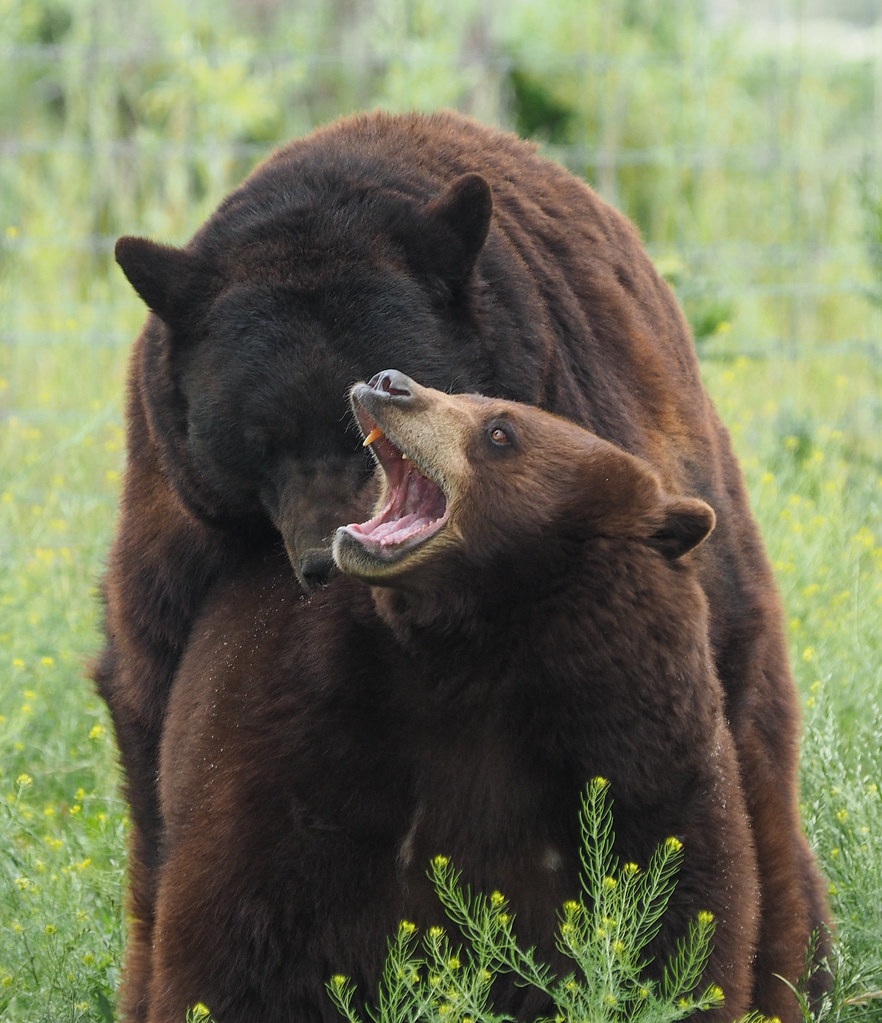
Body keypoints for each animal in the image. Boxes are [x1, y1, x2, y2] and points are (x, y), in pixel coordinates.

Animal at [148, 370, 759, 1023]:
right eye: (465, 395)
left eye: (500, 431)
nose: (388, 382)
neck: (479, 658)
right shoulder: (310, 725)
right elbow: (243, 927)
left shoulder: (642, 747)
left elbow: (683, 915)